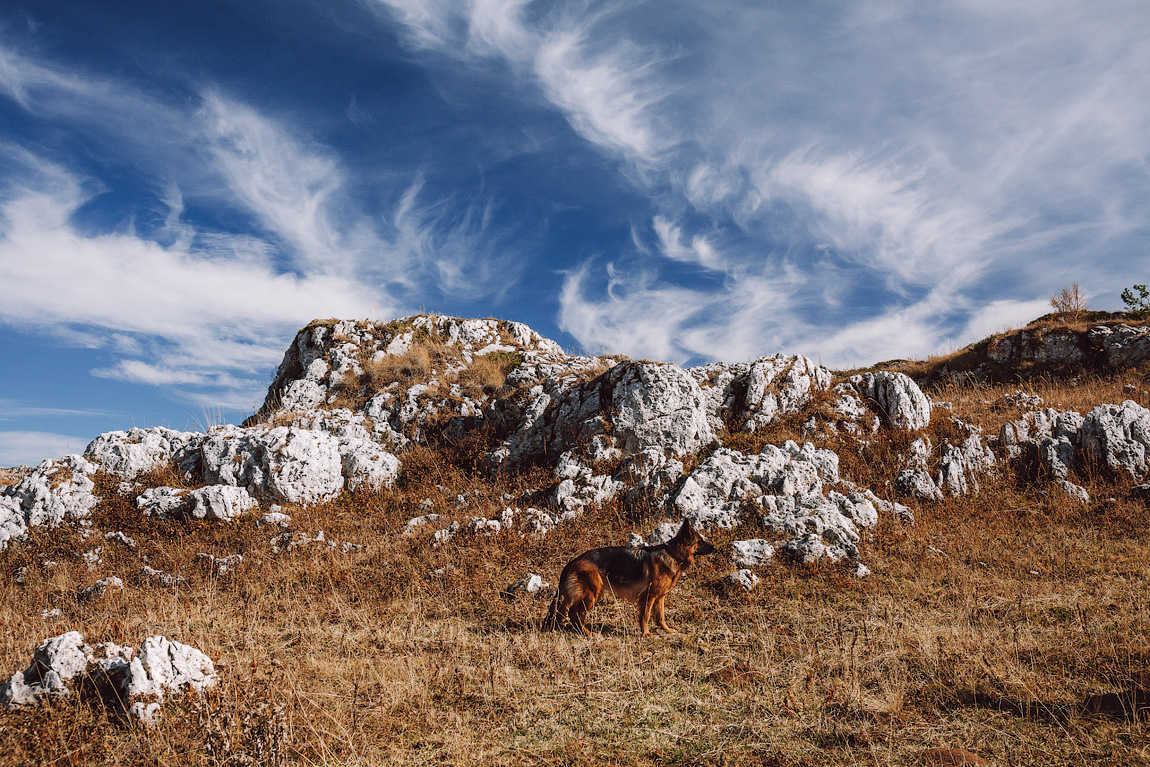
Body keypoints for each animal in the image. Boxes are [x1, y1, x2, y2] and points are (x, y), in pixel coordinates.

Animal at [542, 522, 713, 634]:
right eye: (700, 541)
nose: (715, 547)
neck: (672, 554)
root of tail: (572, 562)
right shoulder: (648, 597)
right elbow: (645, 616)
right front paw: (646, 634)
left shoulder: (660, 597)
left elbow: (660, 616)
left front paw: (666, 630)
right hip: (591, 595)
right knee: (574, 613)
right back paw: (586, 633)